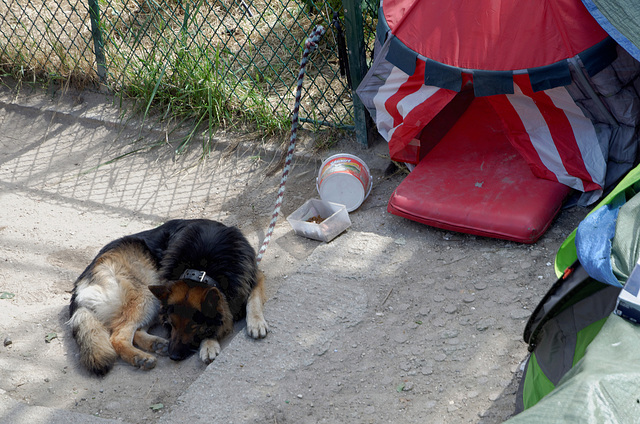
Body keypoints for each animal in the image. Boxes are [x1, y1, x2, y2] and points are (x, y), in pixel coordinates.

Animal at [69, 219, 268, 374]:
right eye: (171, 325)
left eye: (193, 327)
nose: (173, 356)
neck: (203, 268)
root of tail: (83, 281)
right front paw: (209, 344)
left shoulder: (253, 275)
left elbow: (253, 299)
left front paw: (256, 322)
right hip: (147, 291)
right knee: (118, 336)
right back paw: (140, 357)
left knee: (134, 331)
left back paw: (156, 344)